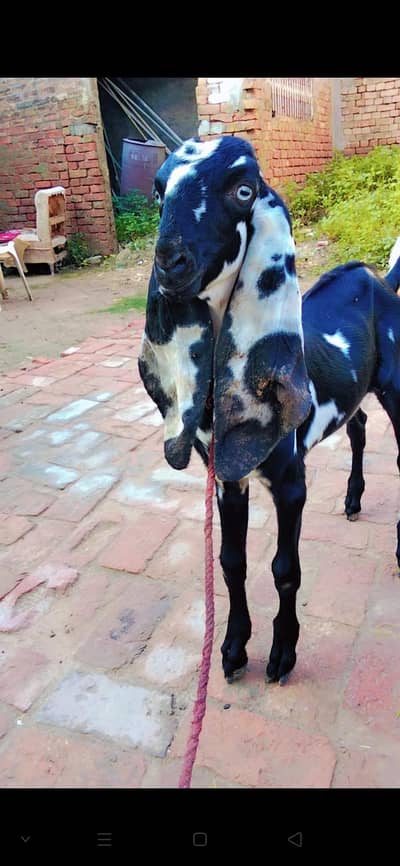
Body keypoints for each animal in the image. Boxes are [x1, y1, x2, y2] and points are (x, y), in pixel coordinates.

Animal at [139, 136, 400, 685]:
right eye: (158, 190)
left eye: (243, 189)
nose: (170, 261)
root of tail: (377, 278)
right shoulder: (227, 478)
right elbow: (231, 561)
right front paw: (234, 649)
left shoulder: (290, 482)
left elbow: (285, 569)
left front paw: (282, 654)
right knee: (360, 425)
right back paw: (353, 499)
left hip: (397, 385)